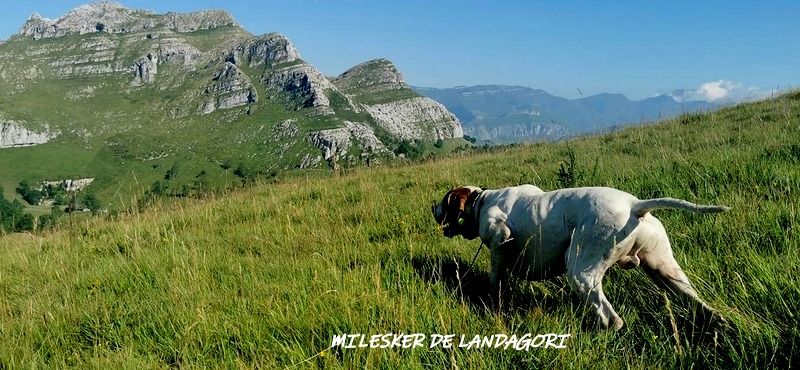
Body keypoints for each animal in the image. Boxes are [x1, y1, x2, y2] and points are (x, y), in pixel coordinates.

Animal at [434, 185, 728, 330]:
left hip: (580, 271)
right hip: (667, 271)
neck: (482, 200)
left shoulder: (499, 238)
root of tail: (635, 205)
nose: (431, 207)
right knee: (697, 301)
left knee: (612, 318)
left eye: (445, 200)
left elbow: (495, 277)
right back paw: (719, 322)